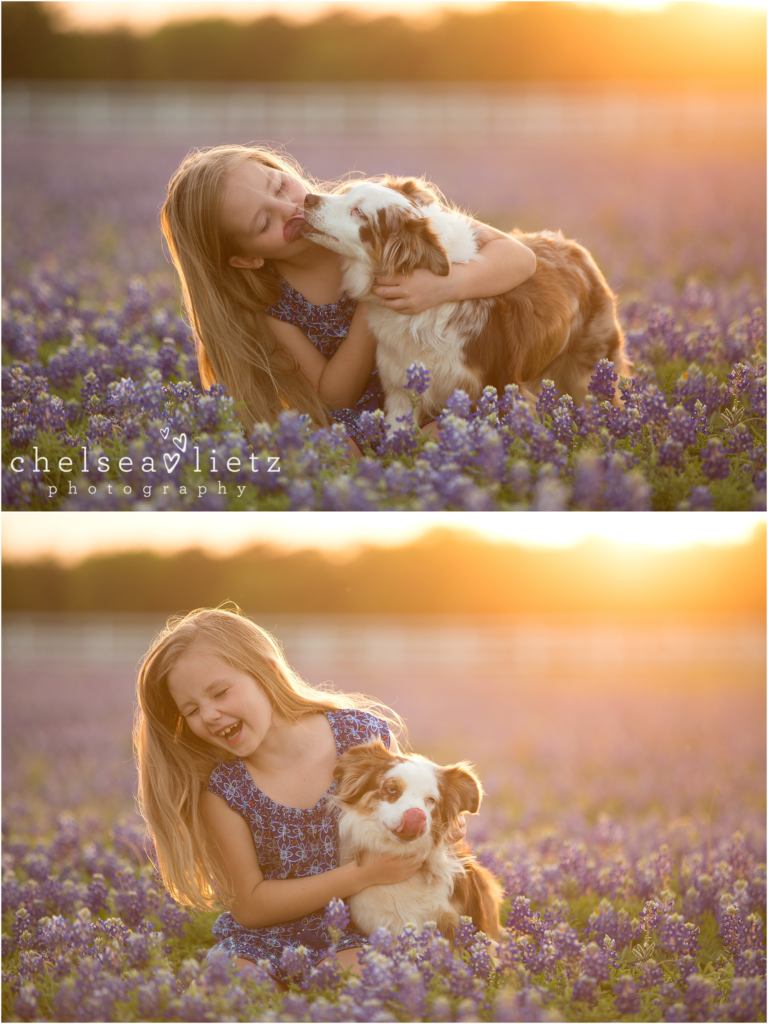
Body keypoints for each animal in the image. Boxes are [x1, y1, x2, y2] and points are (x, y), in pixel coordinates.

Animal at [303, 178, 630, 425]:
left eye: (358, 212)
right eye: (346, 192)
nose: (308, 198)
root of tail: (574, 246)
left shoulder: (494, 389)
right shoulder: (400, 390)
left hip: (589, 374)